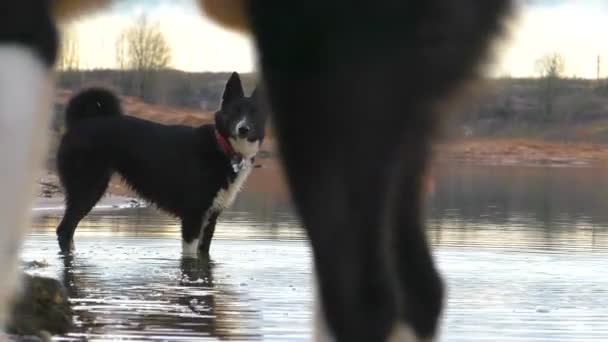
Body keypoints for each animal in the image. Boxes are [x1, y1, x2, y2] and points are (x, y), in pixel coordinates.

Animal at [55, 71, 264, 254]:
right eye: (235, 111)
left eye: (255, 114)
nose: (243, 129)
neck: (223, 147)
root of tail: (80, 123)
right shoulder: (193, 217)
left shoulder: (210, 219)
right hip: (87, 188)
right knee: (64, 230)